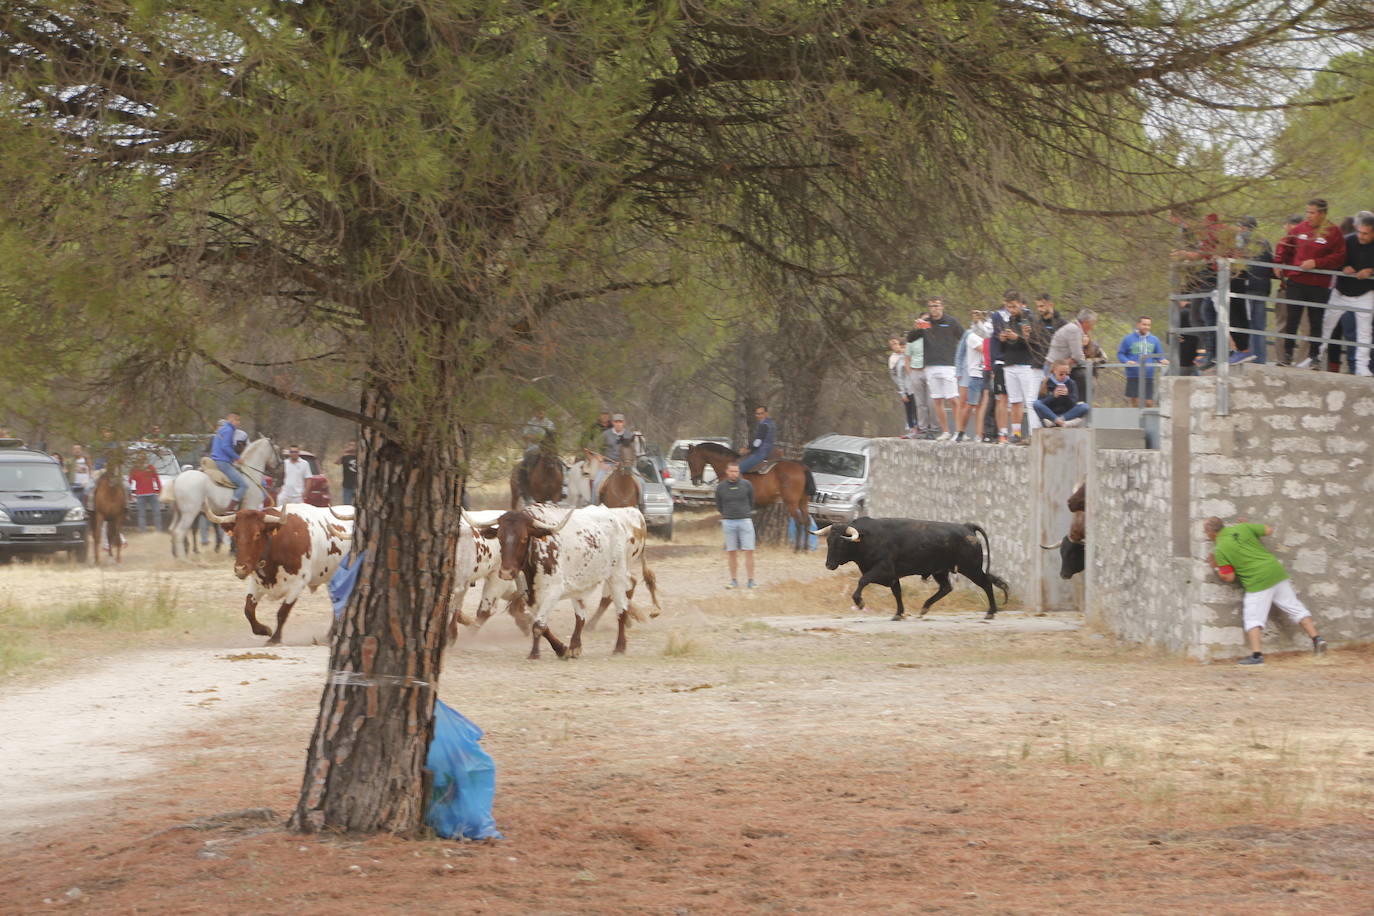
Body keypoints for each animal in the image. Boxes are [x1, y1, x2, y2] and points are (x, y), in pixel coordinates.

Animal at [813, 519, 1011, 620]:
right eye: (828, 541)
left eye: (841, 543)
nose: (829, 565)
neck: (867, 538)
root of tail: (967, 527)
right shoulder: (892, 576)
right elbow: (897, 592)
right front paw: (898, 613)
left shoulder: (883, 570)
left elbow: (863, 580)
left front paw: (860, 603)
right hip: (941, 571)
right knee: (946, 587)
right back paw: (924, 608)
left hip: (971, 568)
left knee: (986, 583)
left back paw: (991, 612)